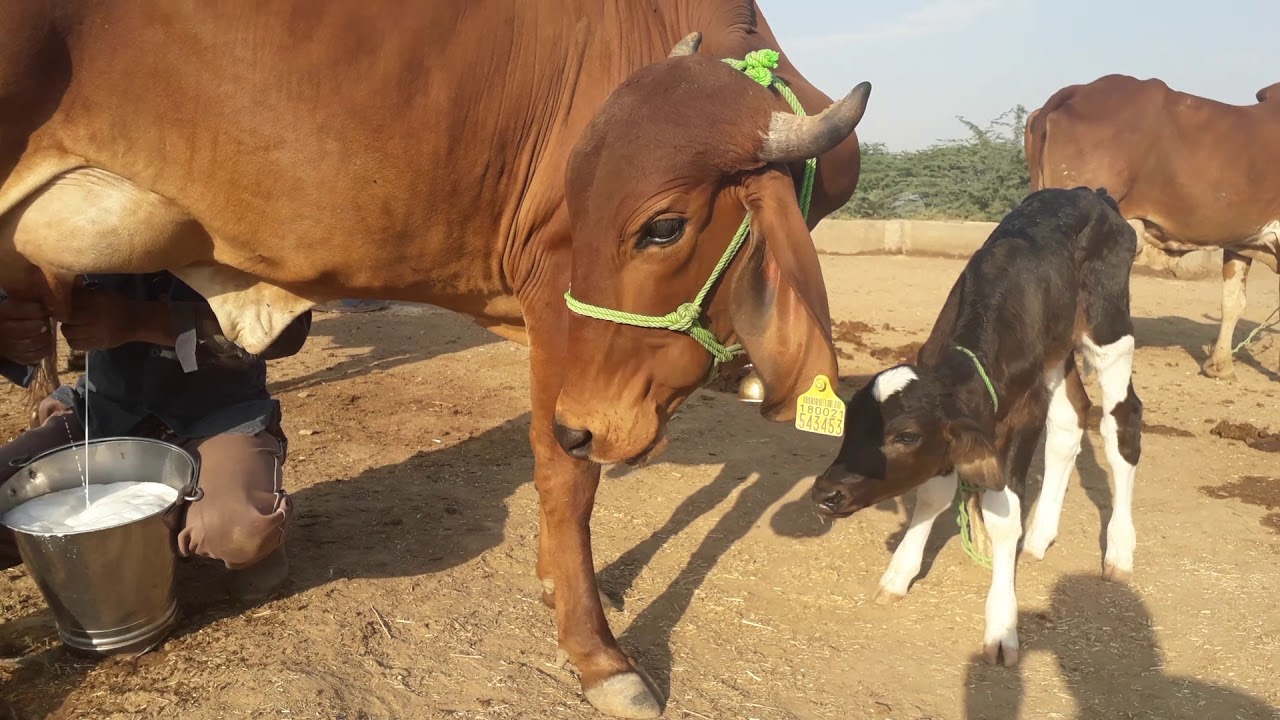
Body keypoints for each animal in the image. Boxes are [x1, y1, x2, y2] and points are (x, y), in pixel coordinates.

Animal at [810, 187, 1144, 666]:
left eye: (905, 436)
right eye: (848, 427)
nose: (826, 493)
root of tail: (1089, 193)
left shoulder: (1025, 412)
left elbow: (1002, 515)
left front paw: (1002, 625)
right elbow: (933, 495)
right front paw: (899, 574)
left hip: (1109, 329)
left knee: (1121, 423)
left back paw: (1118, 550)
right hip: (1057, 351)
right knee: (1071, 418)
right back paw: (1040, 536)